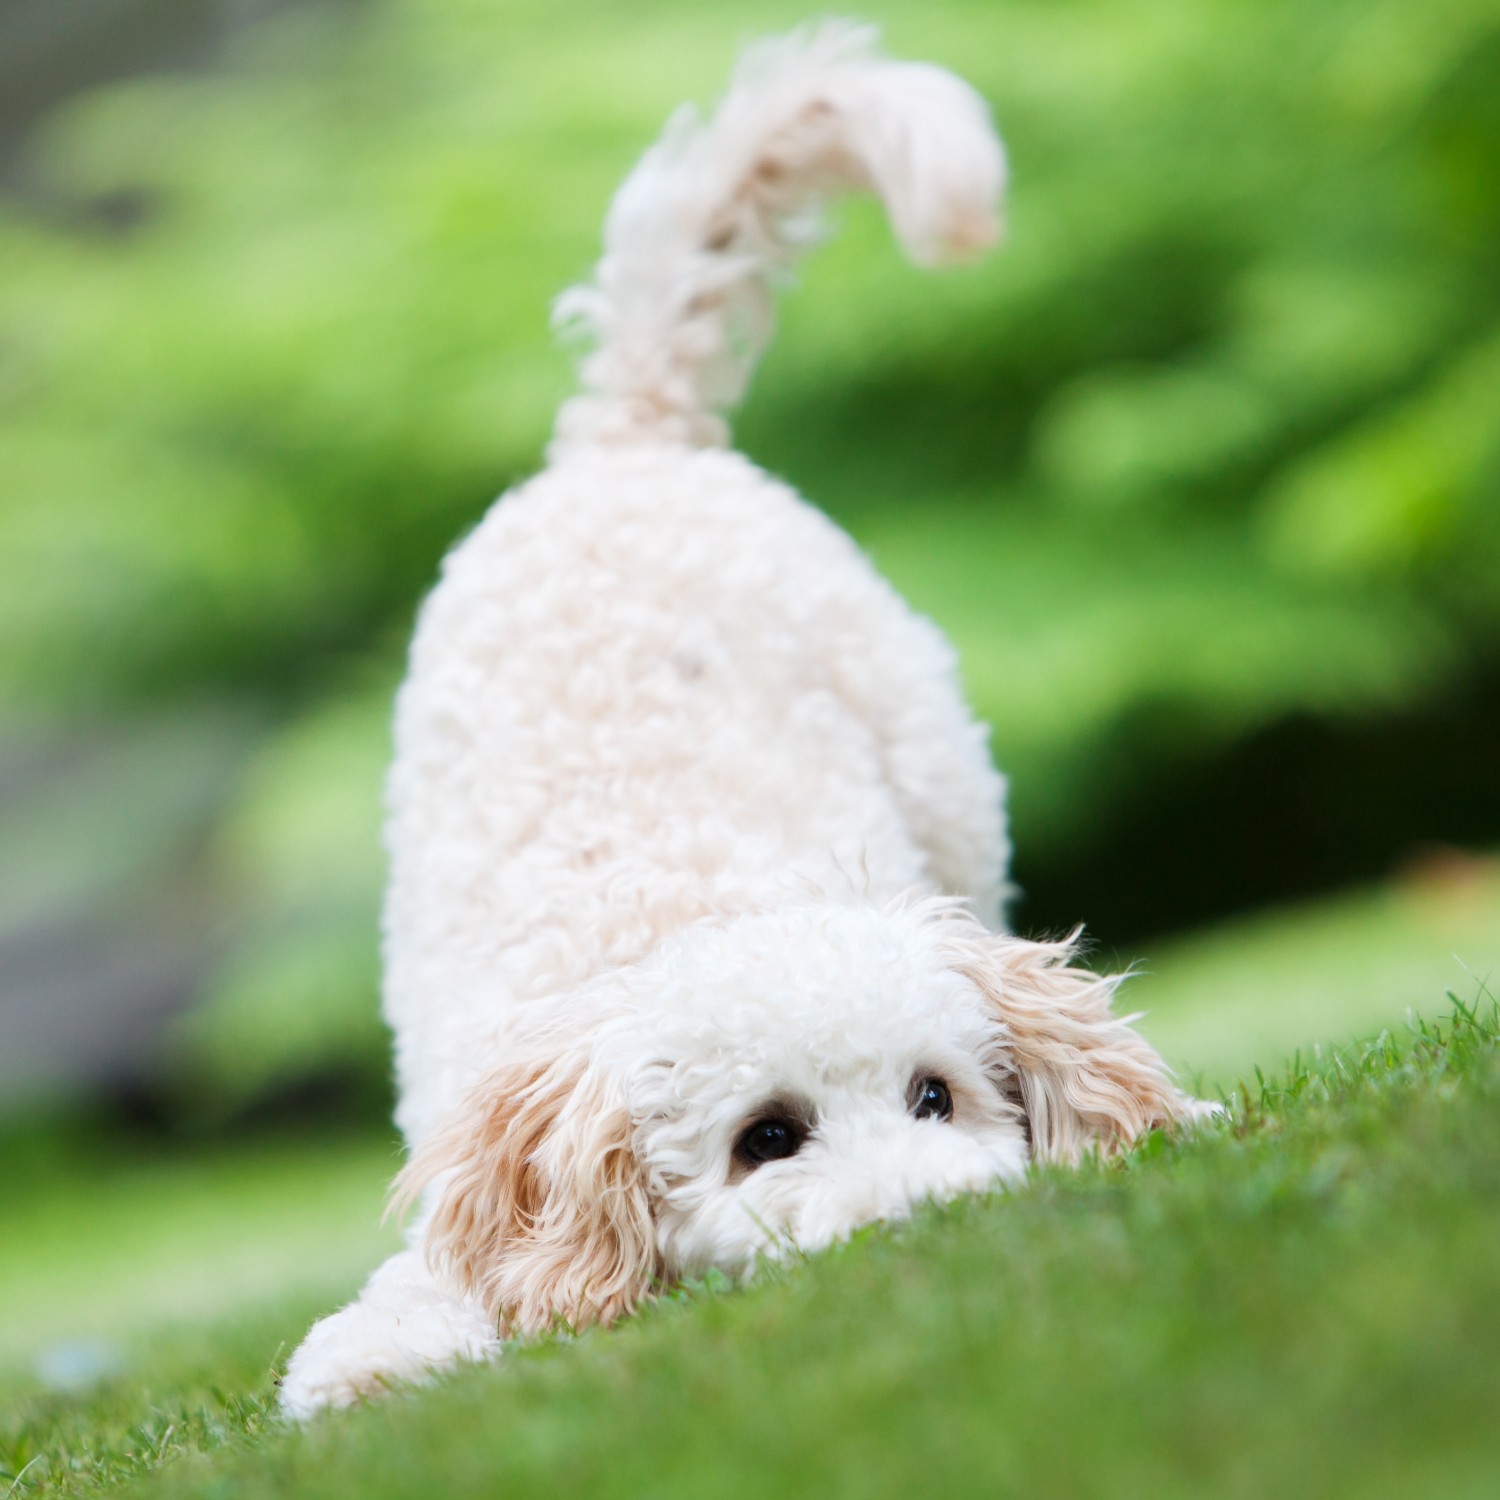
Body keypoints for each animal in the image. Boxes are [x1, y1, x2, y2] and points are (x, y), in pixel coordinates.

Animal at [276, 20, 1200, 1416]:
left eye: (937, 1098)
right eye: (768, 1138)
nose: (933, 1221)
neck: (678, 920)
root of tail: (620, 439)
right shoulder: (474, 1199)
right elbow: (407, 1311)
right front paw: (378, 1369)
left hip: (953, 800)